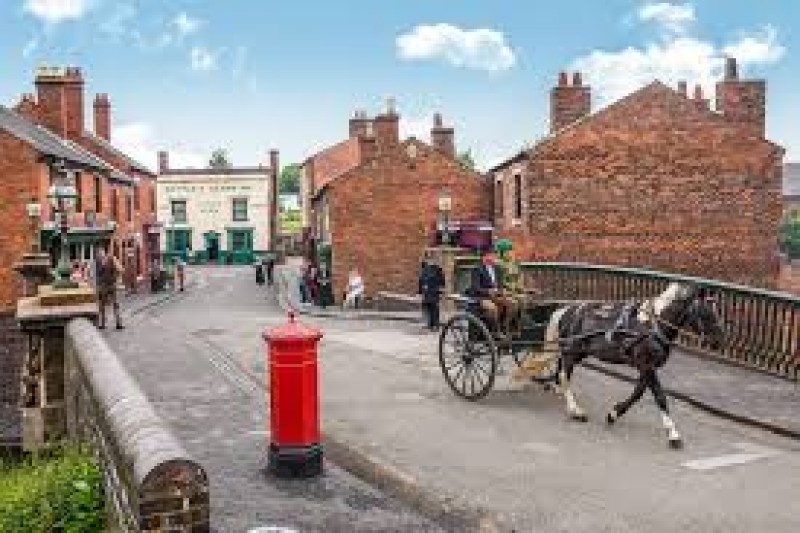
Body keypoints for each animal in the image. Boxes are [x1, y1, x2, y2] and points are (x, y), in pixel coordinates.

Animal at [544, 280, 724, 446]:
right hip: (572, 351)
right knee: (564, 375)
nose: (719, 340)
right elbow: (660, 396)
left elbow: (638, 392)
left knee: (561, 370)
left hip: (577, 353)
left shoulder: (646, 367)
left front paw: (614, 413)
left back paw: (556, 388)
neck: (653, 325)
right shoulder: (647, 365)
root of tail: (566, 310)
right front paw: (673, 433)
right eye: (706, 311)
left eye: (717, 310)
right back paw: (575, 410)